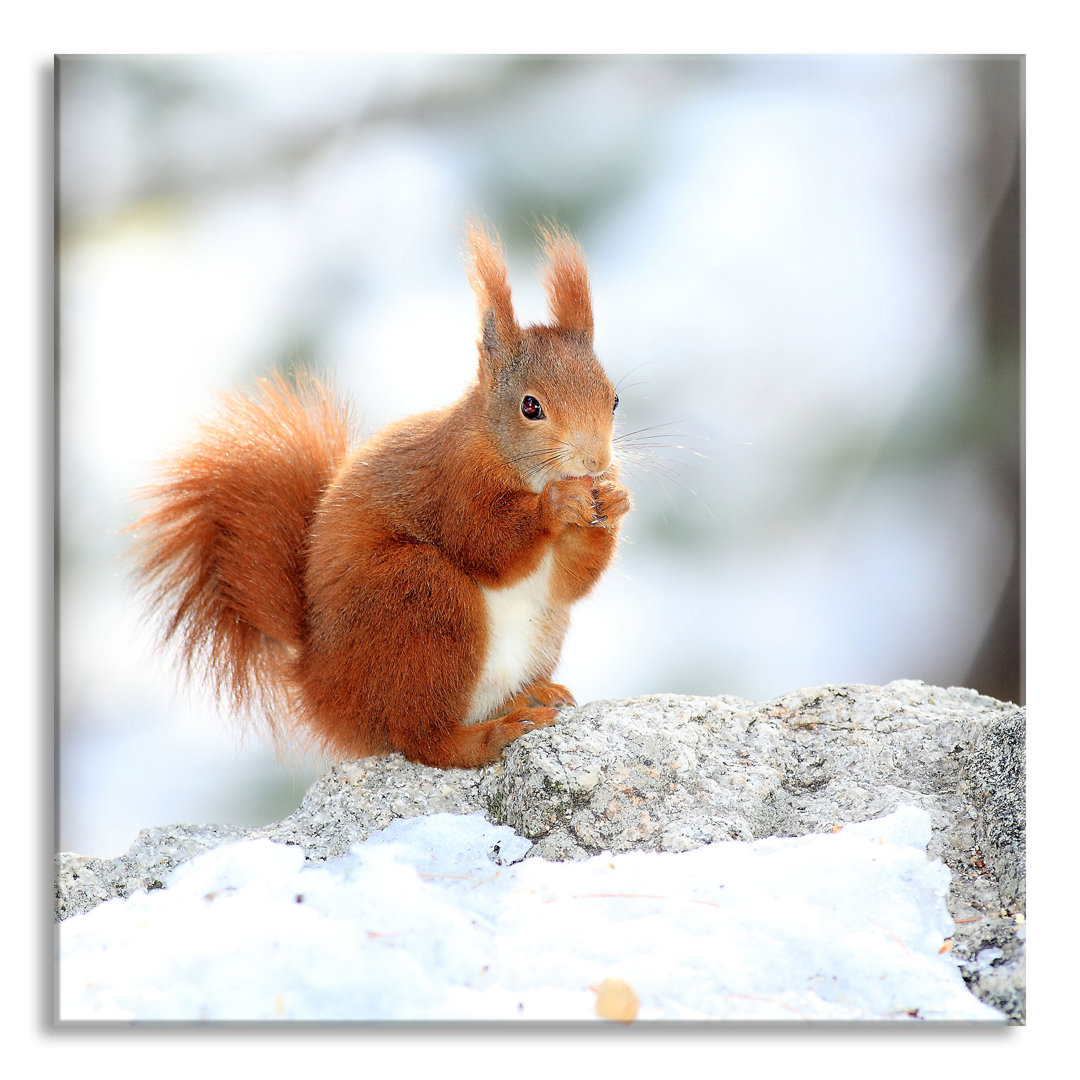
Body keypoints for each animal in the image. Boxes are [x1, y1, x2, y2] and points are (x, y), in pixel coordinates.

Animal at [129, 223, 630, 773]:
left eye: (614, 399)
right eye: (531, 407)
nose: (595, 461)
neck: (513, 459)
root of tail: (322, 688)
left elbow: (570, 582)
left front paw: (616, 501)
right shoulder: (452, 483)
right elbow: (488, 544)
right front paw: (557, 504)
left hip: (535, 630)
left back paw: (529, 697)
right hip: (420, 600)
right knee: (423, 739)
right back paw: (492, 735)